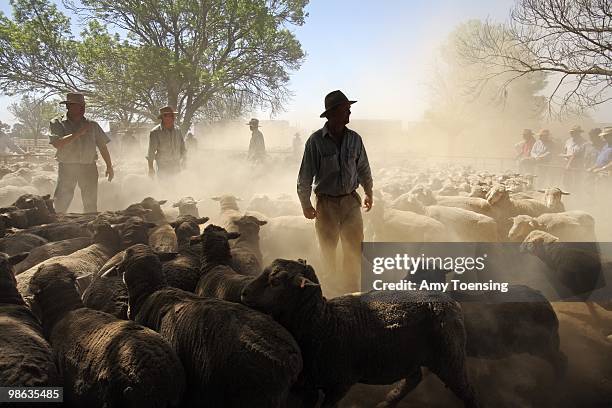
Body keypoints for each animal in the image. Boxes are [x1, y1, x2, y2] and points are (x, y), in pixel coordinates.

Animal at [241, 260, 480, 406]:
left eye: (275, 281)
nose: (243, 293)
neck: (324, 322)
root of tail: (446, 296)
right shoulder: (306, 386)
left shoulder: (341, 384)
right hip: (408, 355)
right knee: (414, 378)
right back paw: (386, 402)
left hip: (449, 357)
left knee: (467, 391)